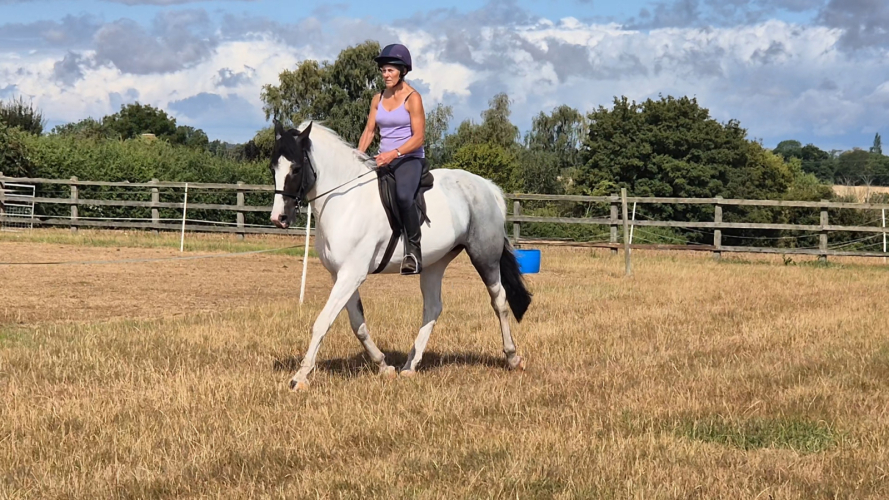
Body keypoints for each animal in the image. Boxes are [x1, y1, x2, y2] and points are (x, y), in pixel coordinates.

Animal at [269, 121, 532, 391]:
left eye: (296, 168)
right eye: (273, 168)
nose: (279, 218)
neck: (345, 201)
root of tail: (487, 187)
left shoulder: (351, 274)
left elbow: (323, 322)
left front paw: (300, 377)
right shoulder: (340, 275)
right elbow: (357, 324)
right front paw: (384, 367)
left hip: (484, 257)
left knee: (499, 301)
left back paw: (513, 358)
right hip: (435, 263)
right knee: (433, 307)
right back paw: (410, 365)